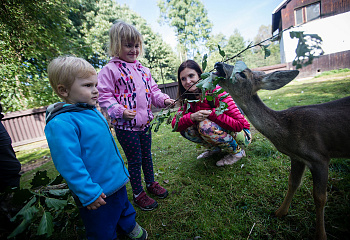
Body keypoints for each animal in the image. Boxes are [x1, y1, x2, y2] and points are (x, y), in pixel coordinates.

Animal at [213, 62, 350, 240]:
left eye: (242, 74)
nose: (218, 64)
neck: (288, 131)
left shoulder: (320, 157)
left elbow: (320, 197)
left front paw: (321, 235)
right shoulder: (298, 158)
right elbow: (293, 183)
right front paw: (280, 212)